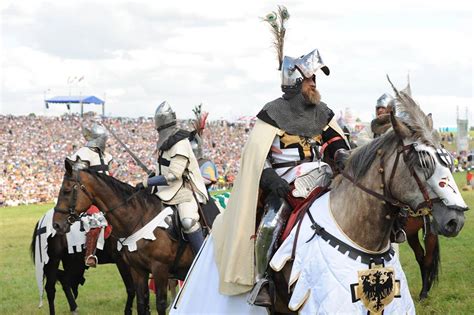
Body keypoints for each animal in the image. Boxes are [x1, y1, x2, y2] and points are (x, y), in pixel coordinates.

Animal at [51, 163, 193, 315]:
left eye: (66, 191)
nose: (56, 224)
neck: (139, 218)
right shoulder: (137, 268)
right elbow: (140, 299)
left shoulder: (158, 268)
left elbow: (153, 301)